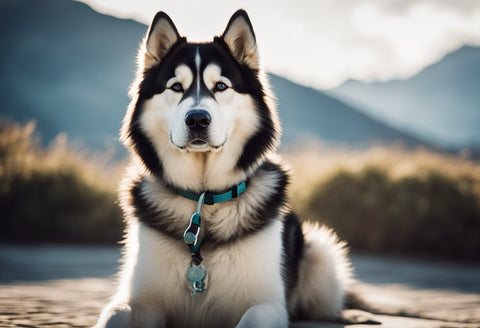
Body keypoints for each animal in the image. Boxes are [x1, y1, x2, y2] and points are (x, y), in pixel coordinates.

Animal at [96, 9, 352, 326]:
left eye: (221, 86)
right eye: (176, 87)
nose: (197, 119)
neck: (204, 198)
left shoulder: (267, 304)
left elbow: (254, 316)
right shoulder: (141, 299)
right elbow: (115, 313)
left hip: (321, 250)